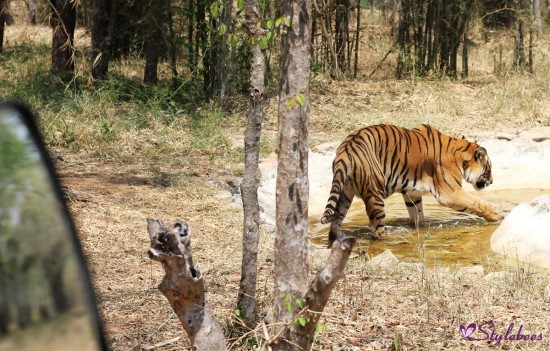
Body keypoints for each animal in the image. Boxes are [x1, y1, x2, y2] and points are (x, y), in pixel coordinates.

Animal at [322, 123, 506, 242]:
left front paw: (420, 229)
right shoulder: (450, 193)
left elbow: (418, 215)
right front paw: (498, 215)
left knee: (335, 224)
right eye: (489, 168)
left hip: (344, 195)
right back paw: (392, 237)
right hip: (375, 194)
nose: (491, 181)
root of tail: (345, 150)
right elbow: (477, 203)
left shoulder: (412, 192)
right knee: (376, 231)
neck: (459, 153)